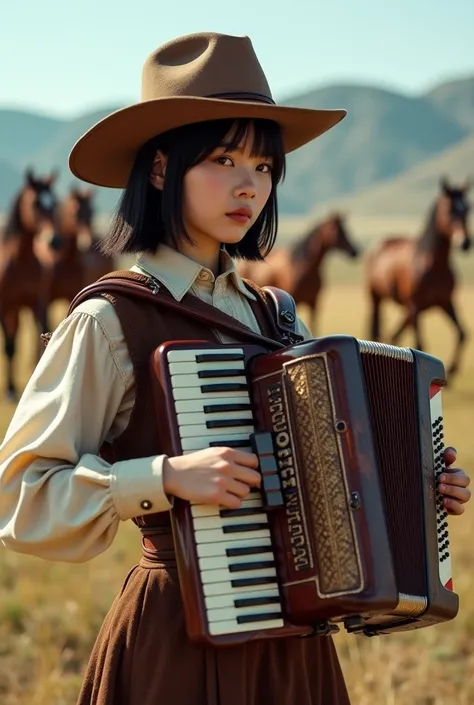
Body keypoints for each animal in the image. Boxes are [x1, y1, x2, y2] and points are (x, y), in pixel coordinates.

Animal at [366, 179, 470, 376]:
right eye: (449, 209)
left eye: (468, 208)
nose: (465, 243)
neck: (434, 264)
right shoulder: (415, 306)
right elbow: (420, 343)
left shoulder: (445, 302)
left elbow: (462, 333)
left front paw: (452, 370)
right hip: (377, 298)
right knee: (377, 330)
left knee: (394, 334)